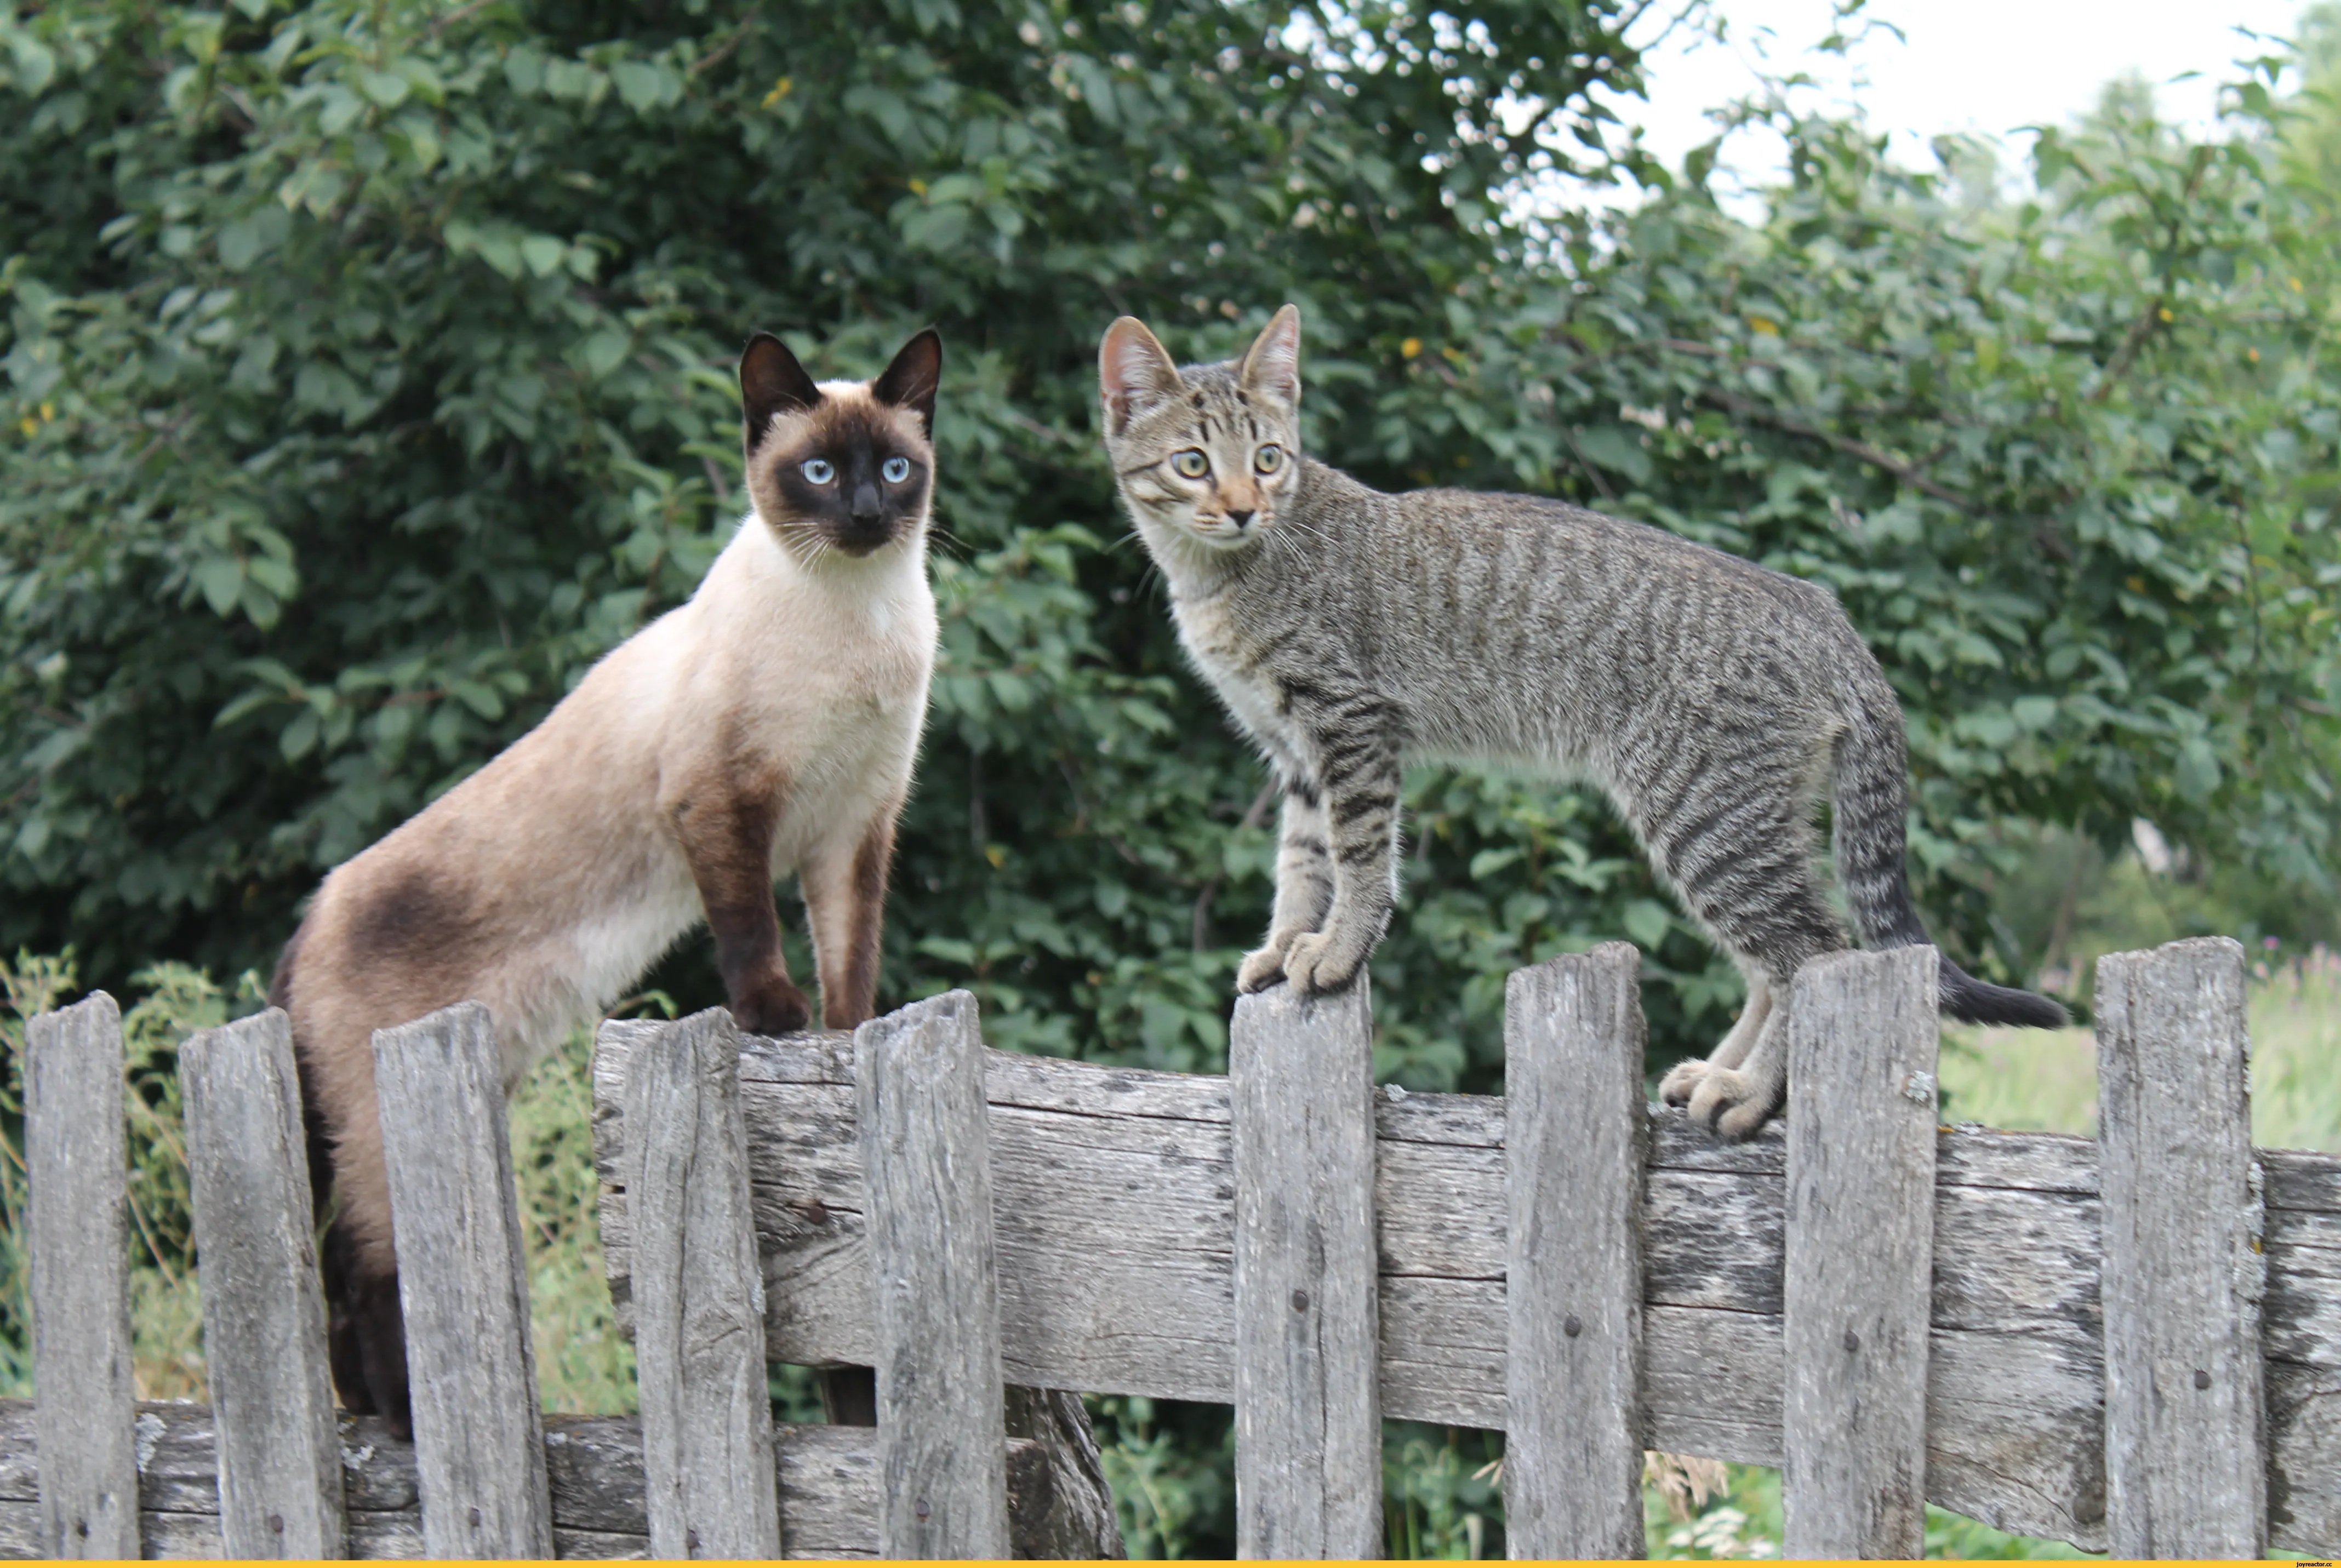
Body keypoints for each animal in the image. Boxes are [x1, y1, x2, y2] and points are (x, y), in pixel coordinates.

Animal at [269, 328, 936, 1441]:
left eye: (892, 469)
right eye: (816, 472)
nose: (862, 517)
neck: (859, 616)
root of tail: (307, 921)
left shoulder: (853, 826)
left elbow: (853, 958)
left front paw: (844, 1040)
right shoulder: (721, 804)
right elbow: (751, 930)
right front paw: (776, 1021)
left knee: (331, 1286)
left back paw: (369, 1419)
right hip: (379, 1122)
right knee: (369, 1269)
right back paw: (408, 1426)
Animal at [1086, 306, 2060, 1142]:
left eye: (1269, 456)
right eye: (1193, 464)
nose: (1243, 505)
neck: (1221, 573)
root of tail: (1826, 612)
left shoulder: (1349, 723)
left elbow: (1358, 856)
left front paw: (1336, 947)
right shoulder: (1294, 751)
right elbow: (1301, 861)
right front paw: (1286, 941)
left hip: (1705, 814)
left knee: (1814, 952)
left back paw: (1751, 1091)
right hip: (1741, 819)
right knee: (1773, 960)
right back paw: (1719, 1071)